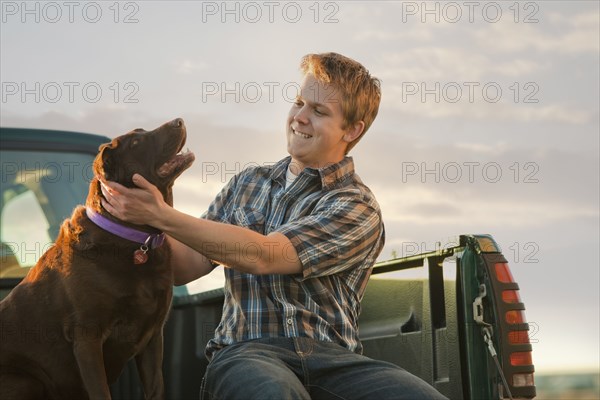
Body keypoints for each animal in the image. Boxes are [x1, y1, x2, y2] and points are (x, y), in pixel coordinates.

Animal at [0, 117, 195, 398]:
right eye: (136, 142)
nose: (179, 120)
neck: (134, 240)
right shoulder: (87, 338)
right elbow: (100, 391)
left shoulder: (153, 337)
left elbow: (156, 388)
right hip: (24, 379)